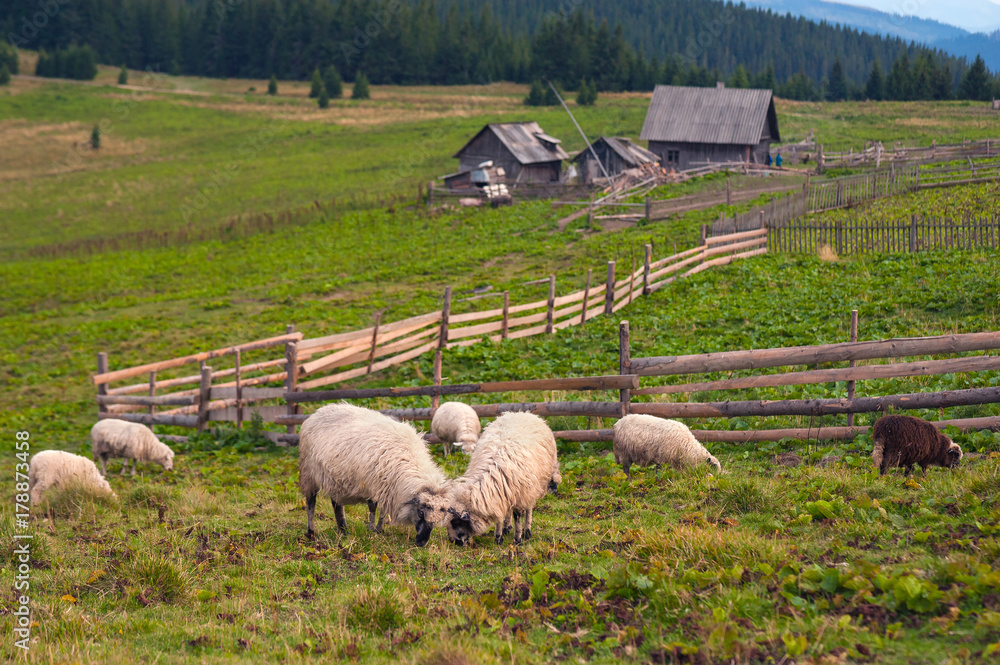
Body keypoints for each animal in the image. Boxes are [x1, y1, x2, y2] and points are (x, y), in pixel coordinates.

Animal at [298, 403, 453, 546]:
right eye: (420, 512)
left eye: (439, 518)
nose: (422, 543)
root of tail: (318, 412)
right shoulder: (373, 483)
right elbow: (373, 508)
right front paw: (371, 529)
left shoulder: (386, 487)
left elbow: (383, 511)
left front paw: (379, 529)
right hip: (308, 473)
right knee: (311, 503)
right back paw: (311, 532)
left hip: (334, 478)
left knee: (337, 504)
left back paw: (343, 530)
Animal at [444, 411, 560, 547]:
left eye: (456, 522)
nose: (453, 542)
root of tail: (522, 412)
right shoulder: (500, 494)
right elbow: (499, 516)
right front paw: (498, 538)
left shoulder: (520, 494)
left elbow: (518, 517)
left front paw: (518, 540)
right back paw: (507, 527)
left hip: (533, 486)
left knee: (529, 508)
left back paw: (527, 531)